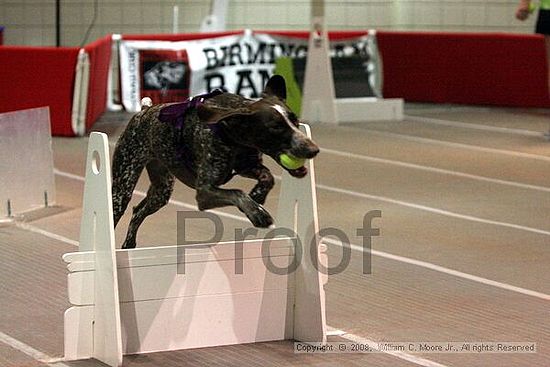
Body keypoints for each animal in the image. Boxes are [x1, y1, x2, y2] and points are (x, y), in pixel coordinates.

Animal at [112, 75, 320, 249]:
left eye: (295, 120)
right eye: (275, 127)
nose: (313, 149)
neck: (231, 132)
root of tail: (143, 112)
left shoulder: (246, 166)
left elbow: (267, 176)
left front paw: (258, 195)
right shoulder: (205, 192)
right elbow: (237, 192)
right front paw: (257, 213)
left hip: (161, 191)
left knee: (138, 211)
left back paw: (129, 245)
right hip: (121, 191)